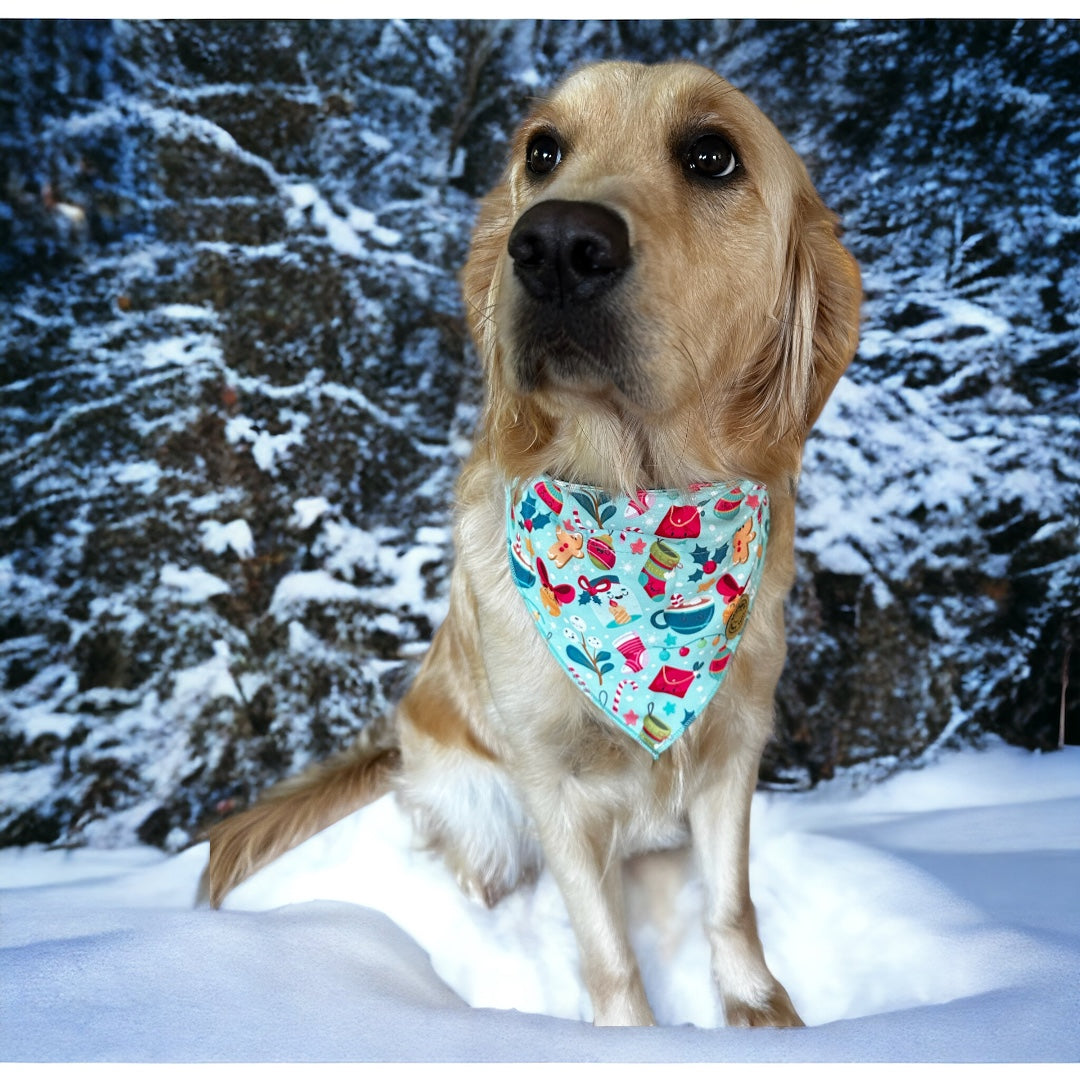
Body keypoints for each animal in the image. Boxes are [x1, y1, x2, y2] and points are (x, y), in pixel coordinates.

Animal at [203, 59, 859, 1028]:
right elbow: (606, 951)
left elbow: (731, 903)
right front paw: (632, 1038)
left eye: (713, 155)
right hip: (478, 798)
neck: (636, 507)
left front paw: (757, 1009)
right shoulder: (552, 786)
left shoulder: (736, 744)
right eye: (542, 151)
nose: (553, 245)